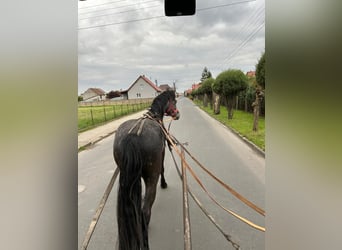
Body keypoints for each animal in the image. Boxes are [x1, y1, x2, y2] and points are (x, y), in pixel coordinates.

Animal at [113, 90, 180, 250]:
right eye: (174, 101)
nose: (177, 114)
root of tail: (133, 136)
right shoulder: (162, 154)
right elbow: (162, 169)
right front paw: (164, 184)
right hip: (151, 178)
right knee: (145, 211)